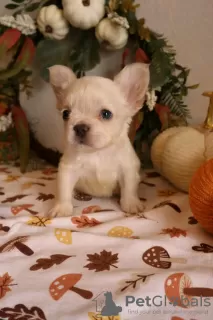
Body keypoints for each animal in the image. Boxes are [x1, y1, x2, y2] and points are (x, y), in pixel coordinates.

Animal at [47, 62, 149, 218]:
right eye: (66, 114)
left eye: (106, 114)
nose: (80, 127)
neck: (97, 152)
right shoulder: (67, 169)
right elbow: (64, 189)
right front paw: (62, 207)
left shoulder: (128, 169)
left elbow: (129, 188)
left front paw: (131, 204)